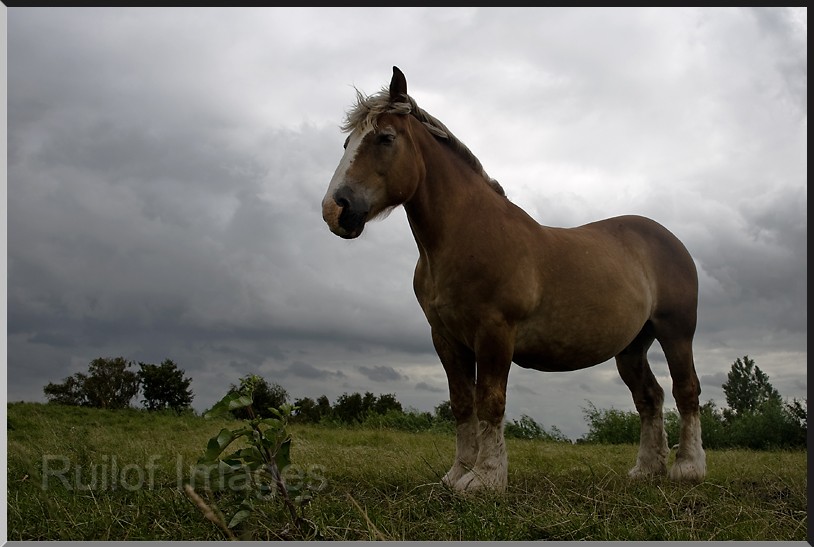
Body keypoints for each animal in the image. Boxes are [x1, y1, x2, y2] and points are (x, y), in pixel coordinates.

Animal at [321, 66, 706, 492]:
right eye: (347, 143)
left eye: (385, 138)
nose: (335, 209)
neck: (467, 235)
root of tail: (669, 239)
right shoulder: (446, 339)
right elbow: (462, 404)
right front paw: (457, 473)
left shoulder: (494, 333)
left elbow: (490, 401)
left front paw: (485, 478)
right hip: (632, 346)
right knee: (649, 398)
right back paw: (647, 469)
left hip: (675, 332)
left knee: (686, 391)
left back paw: (688, 467)